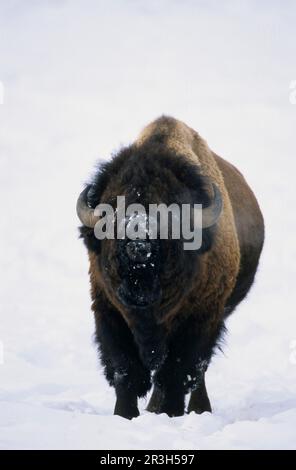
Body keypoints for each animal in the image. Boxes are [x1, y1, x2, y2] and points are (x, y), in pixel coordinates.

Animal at [76, 116, 264, 418]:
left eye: (169, 212)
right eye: (114, 208)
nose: (138, 242)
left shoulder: (201, 318)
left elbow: (178, 372)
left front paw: (171, 413)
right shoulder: (108, 310)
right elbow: (124, 370)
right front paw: (124, 415)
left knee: (196, 373)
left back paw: (197, 409)